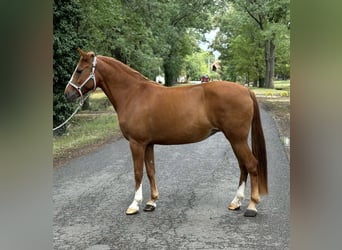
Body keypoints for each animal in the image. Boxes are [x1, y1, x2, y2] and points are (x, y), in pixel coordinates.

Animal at [64, 48, 268, 217]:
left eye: (79, 70)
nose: (67, 94)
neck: (133, 94)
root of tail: (246, 90)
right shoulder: (148, 143)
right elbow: (150, 170)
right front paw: (151, 202)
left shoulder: (136, 143)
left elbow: (137, 172)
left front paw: (134, 205)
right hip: (235, 140)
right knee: (243, 167)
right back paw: (236, 202)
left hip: (237, 139)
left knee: (251, 165)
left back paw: (251, 206)